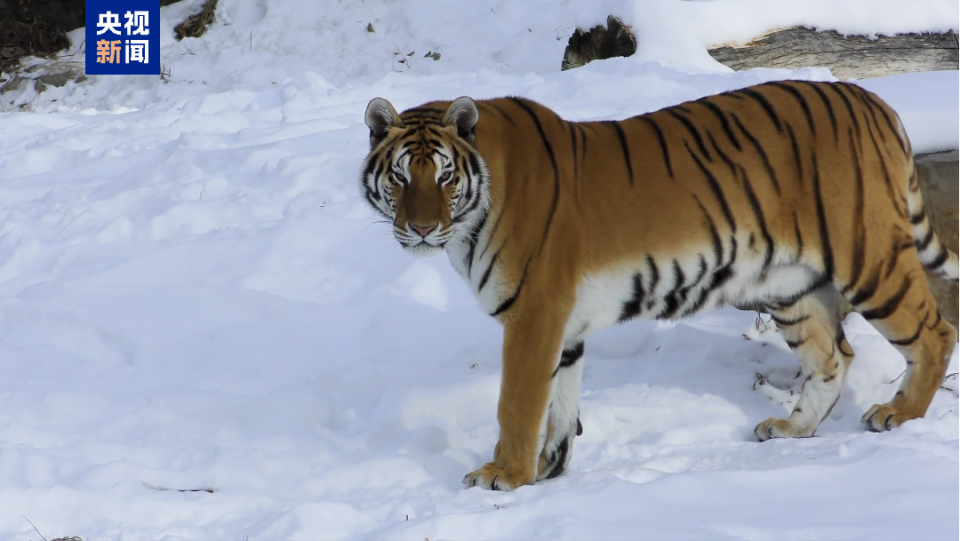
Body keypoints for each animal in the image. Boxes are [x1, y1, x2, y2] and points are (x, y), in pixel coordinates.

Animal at [358, 79, 960, 490]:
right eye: (400, 177)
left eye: (444, 176)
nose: (421, 228)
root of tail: (874, 100)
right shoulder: (562, 325)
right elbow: (559, 404)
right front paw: (549, 471)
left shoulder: (534, 314)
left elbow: (518, 402)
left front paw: (504, 474)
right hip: (789, 285)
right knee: (833, 356)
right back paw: (791, 429)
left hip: (868, 258)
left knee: (934, 331)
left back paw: (897, 414)